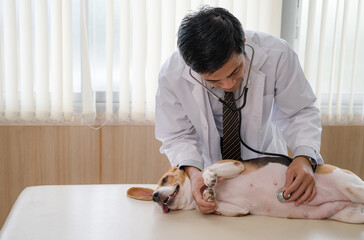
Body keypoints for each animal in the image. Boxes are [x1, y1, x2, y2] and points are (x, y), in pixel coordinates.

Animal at [127, 158, 364, 223]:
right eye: (153, 198)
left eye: (165, 179)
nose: (155, 196)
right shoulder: (240, 209)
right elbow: (222, 205)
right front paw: (208, 195)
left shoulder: (235, 165)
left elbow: (208, 172)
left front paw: (209, 180)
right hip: (350, 215)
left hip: (350, 185)